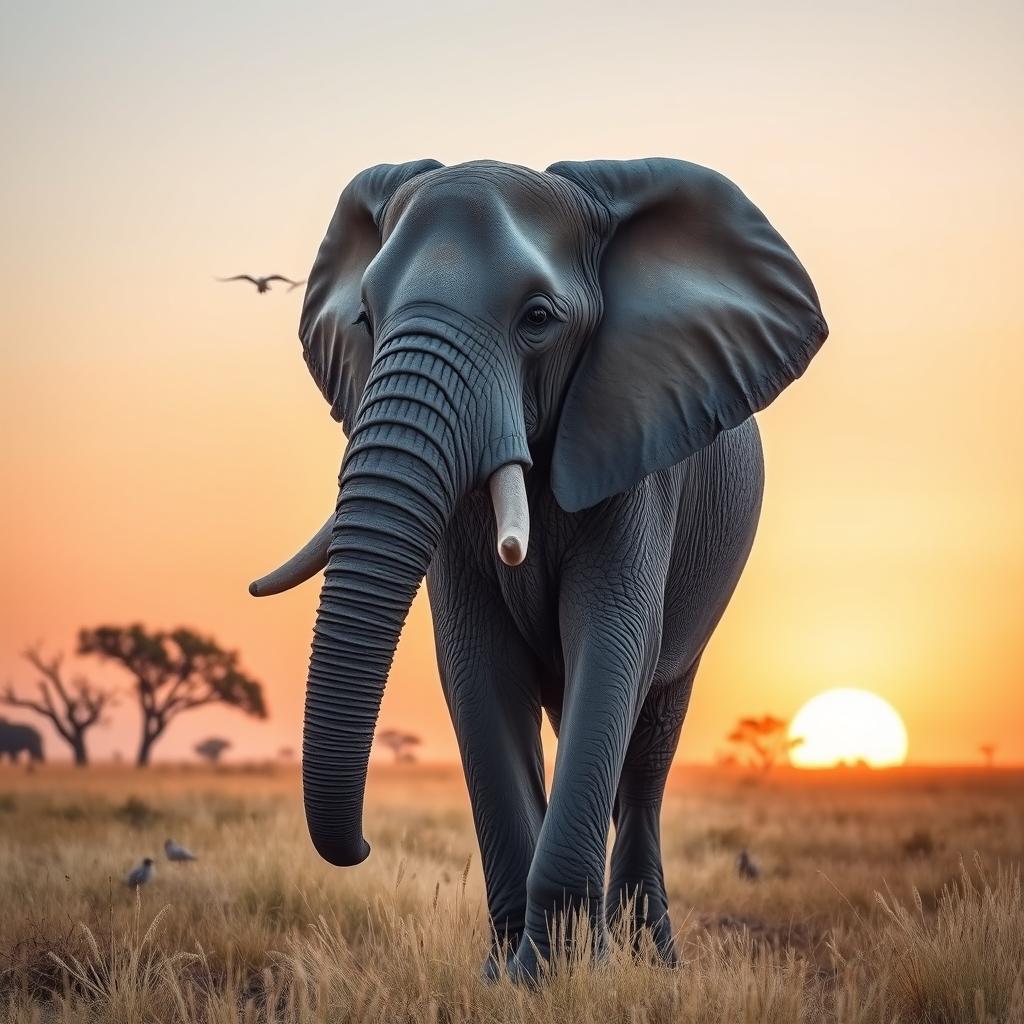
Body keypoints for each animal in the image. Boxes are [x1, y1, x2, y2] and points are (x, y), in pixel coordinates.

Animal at [250, 158, 828, 979]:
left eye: (538, 318)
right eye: (364, 317)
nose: (359, 846)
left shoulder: (639, 449)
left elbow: (611, 639)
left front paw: (557, 975)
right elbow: (477, 664)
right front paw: (510, 977)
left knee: (646, 755)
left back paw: (655, 962)